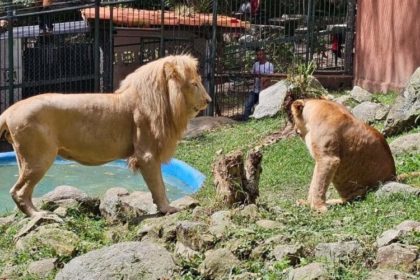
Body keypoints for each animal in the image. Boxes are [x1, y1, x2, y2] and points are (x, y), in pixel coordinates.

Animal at [0, 54, 210, 217]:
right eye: (195, 84)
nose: (208, 100)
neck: (163, 100)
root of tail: (9, 111)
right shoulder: (147, 155)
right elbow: (159, 185)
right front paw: (167, 209)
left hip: (25, 159)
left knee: (23, 191)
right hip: (40, 158)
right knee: (18, 191)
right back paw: (39, 214)